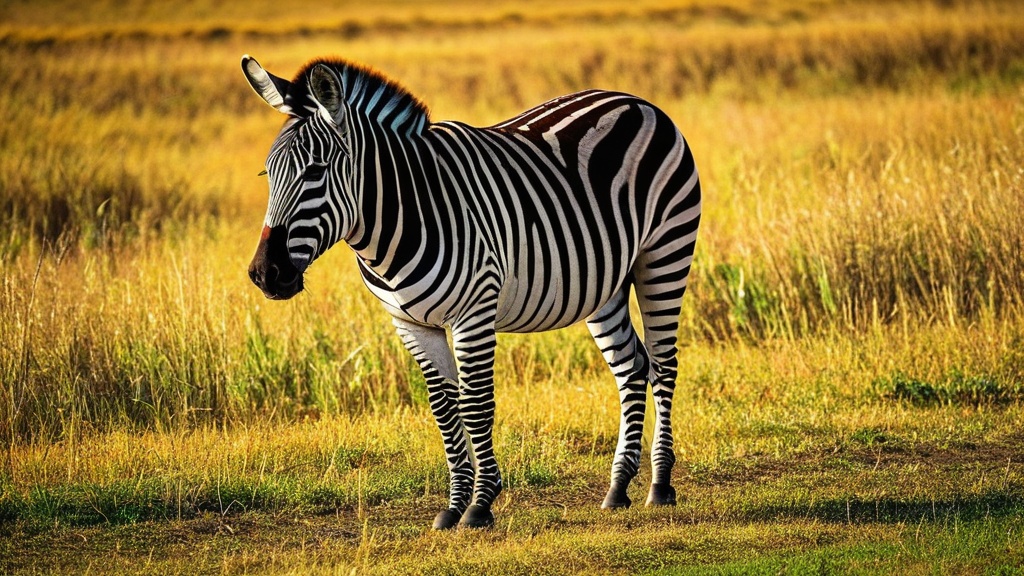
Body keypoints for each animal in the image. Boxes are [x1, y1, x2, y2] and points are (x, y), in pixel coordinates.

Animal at [242, 55, 701, 529]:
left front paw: (481, 504)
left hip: (665, 251)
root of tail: (635, 100)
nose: (265, 274)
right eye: (267, 173)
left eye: (316, 171)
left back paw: (660, 485)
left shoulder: (474, 312)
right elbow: (445, 408)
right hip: (603, 281)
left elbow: (476, 404)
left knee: (664, 365)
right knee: (631, 367)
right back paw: (618, 486)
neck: (402, 215)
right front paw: (454, 504)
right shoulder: (410, 324)